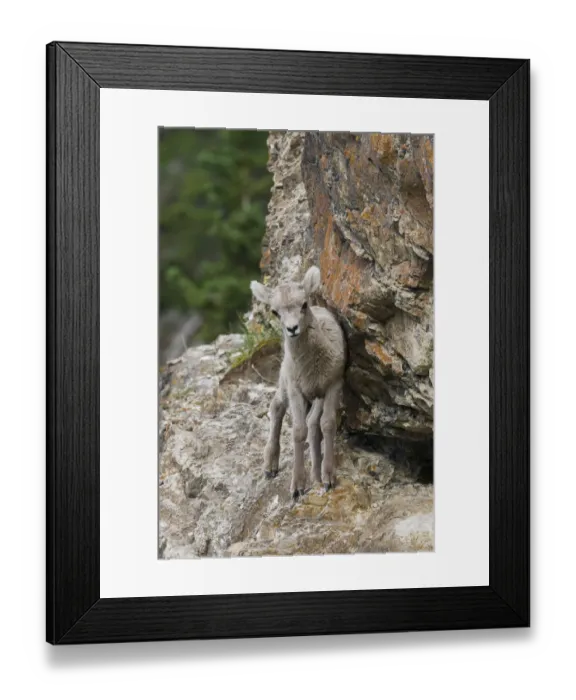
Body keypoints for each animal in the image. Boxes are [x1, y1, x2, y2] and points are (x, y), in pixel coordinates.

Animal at [250, 266, 346, 499]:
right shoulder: (296, 390)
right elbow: (298, 431)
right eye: (275, 312)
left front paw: (328, 478)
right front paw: (297, 487)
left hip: (316, 396)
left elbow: (326, 424)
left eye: (303, 304)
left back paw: (315, 473)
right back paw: (270, 466)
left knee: (313, 423)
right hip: (285, 383)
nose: (292, 329)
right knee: (276, 407)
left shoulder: (333, 385)